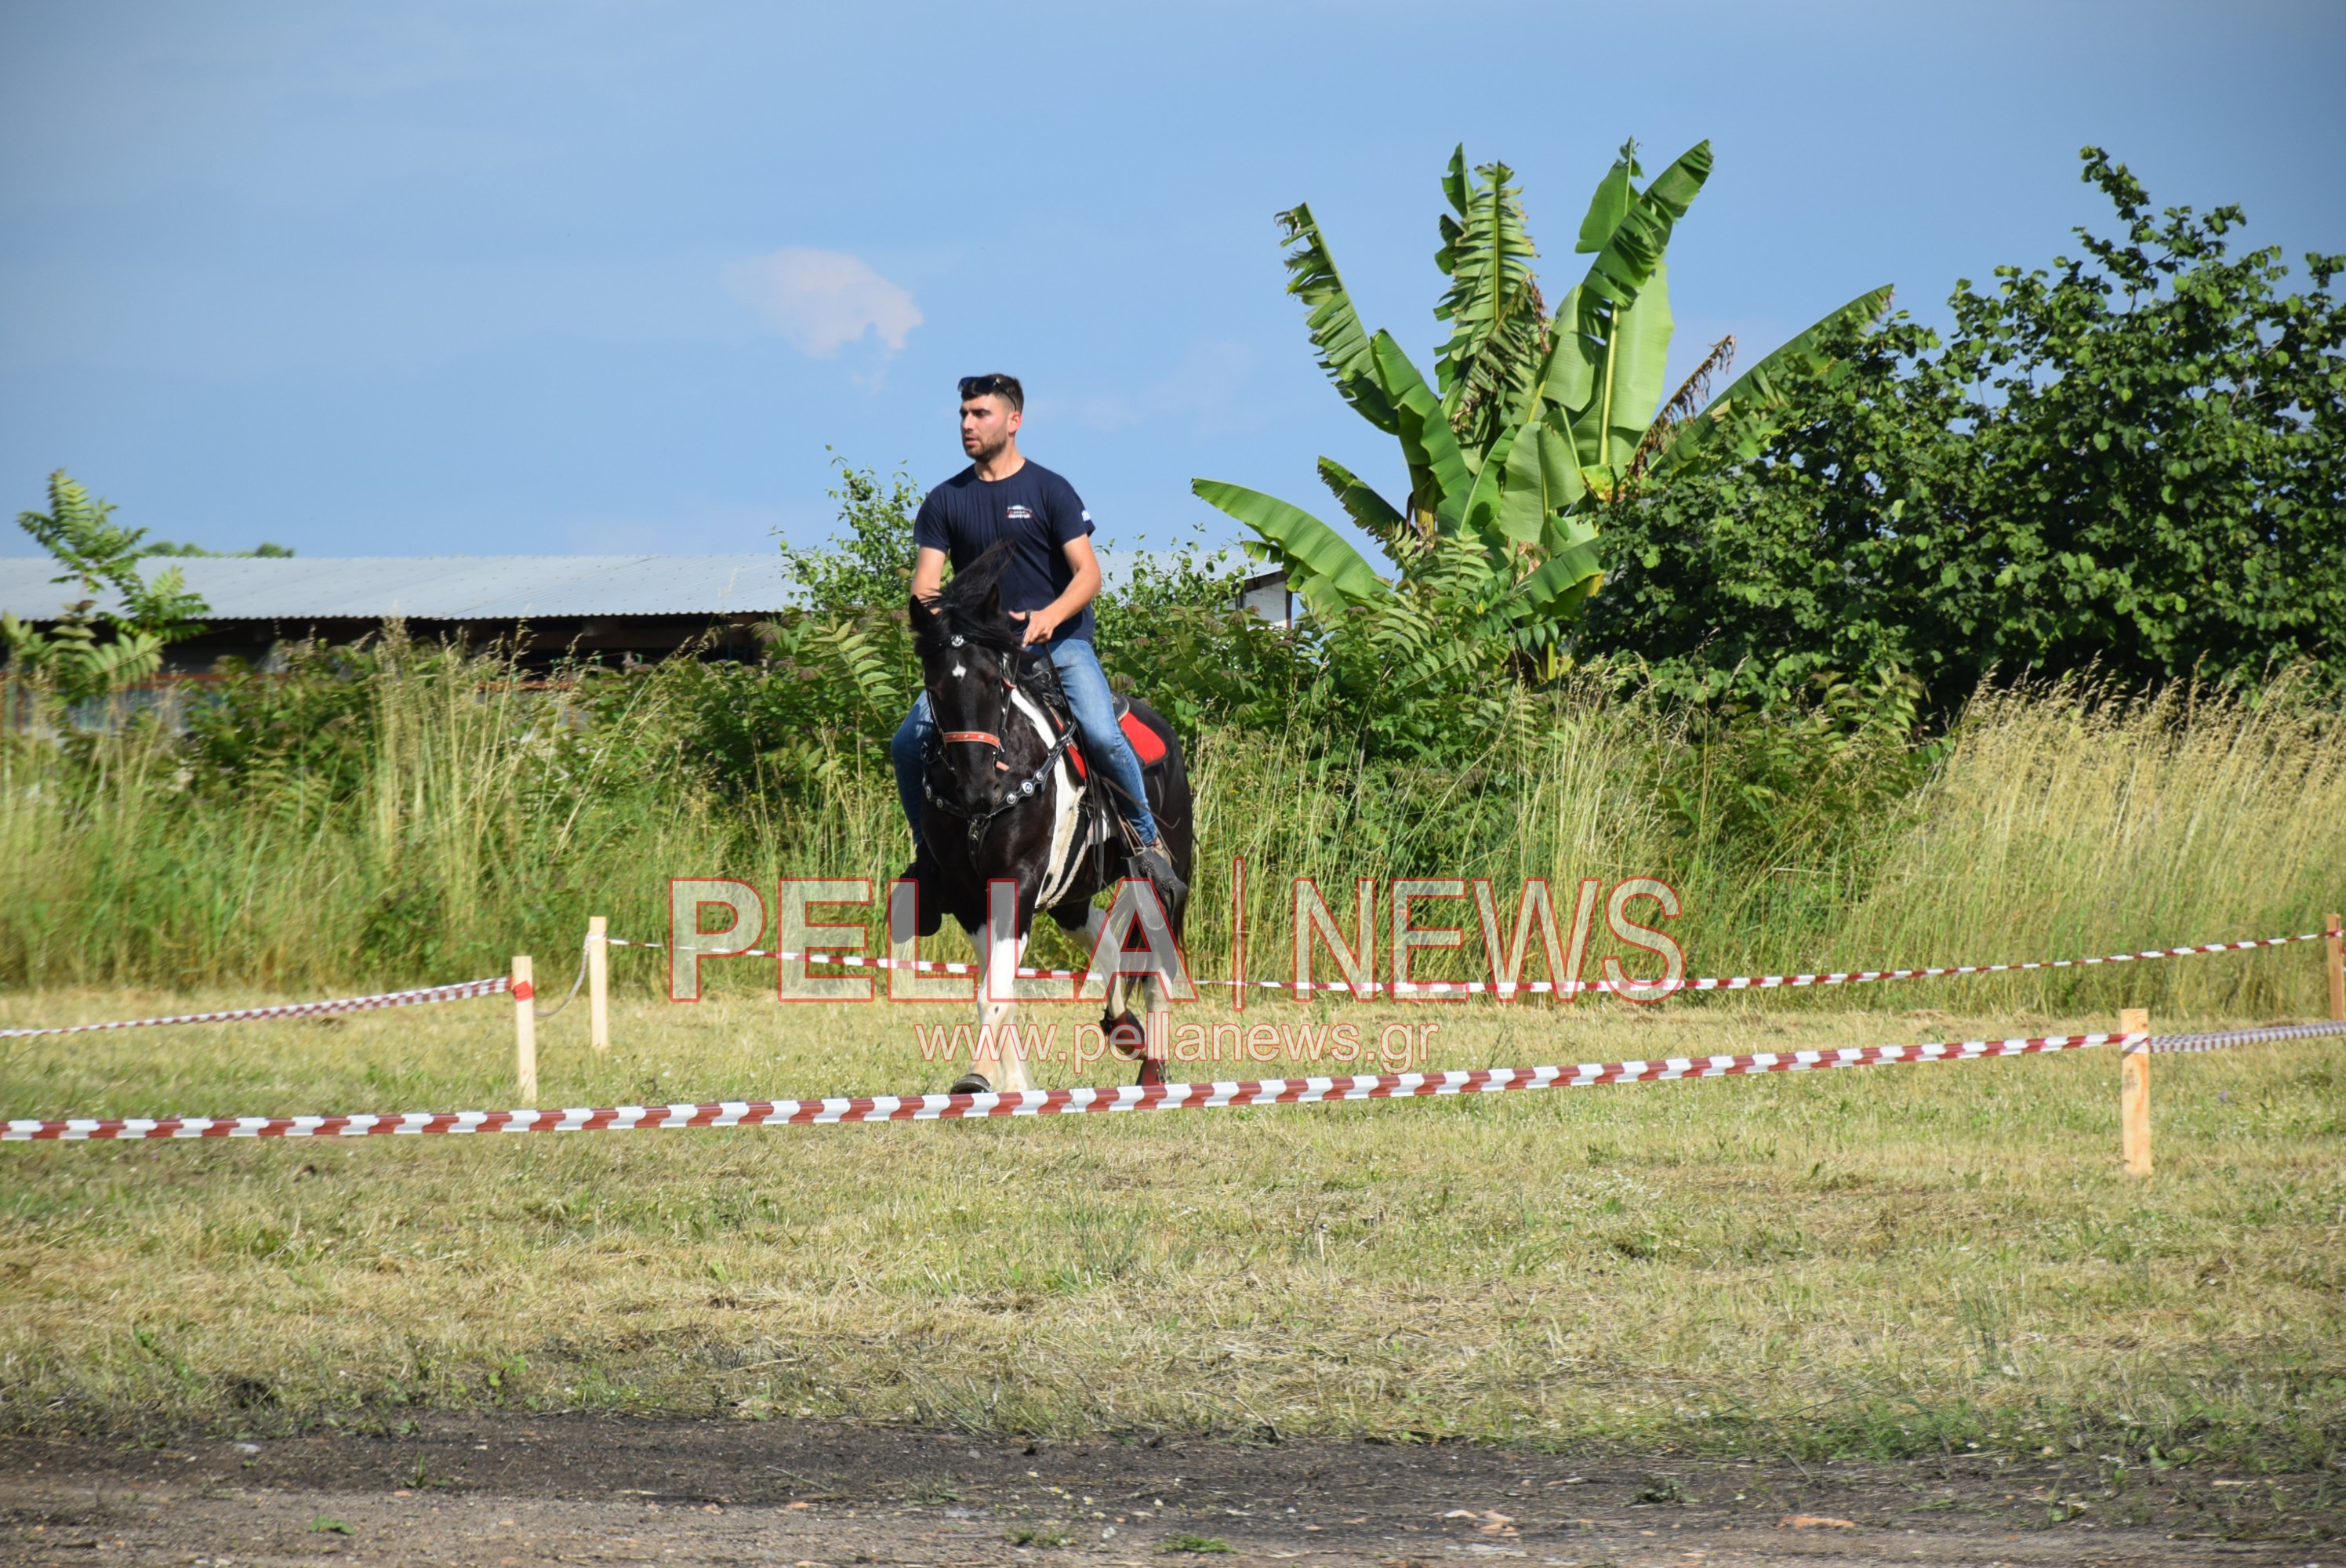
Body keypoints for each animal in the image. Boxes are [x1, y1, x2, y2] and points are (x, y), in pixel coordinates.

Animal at [905, 563, 1200, 1089]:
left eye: (996, 681)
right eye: (934, 689)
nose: (978, 787)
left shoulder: (1019, 879)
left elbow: (994, 993)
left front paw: (979, 1078)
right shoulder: (968, 894)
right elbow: (998, 986)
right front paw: (1012, 1085)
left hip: (1161, 881)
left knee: (1158, 967)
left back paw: (1152, 1072)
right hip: (1071, 893)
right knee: (1108, 945)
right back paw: (1123, 1027)